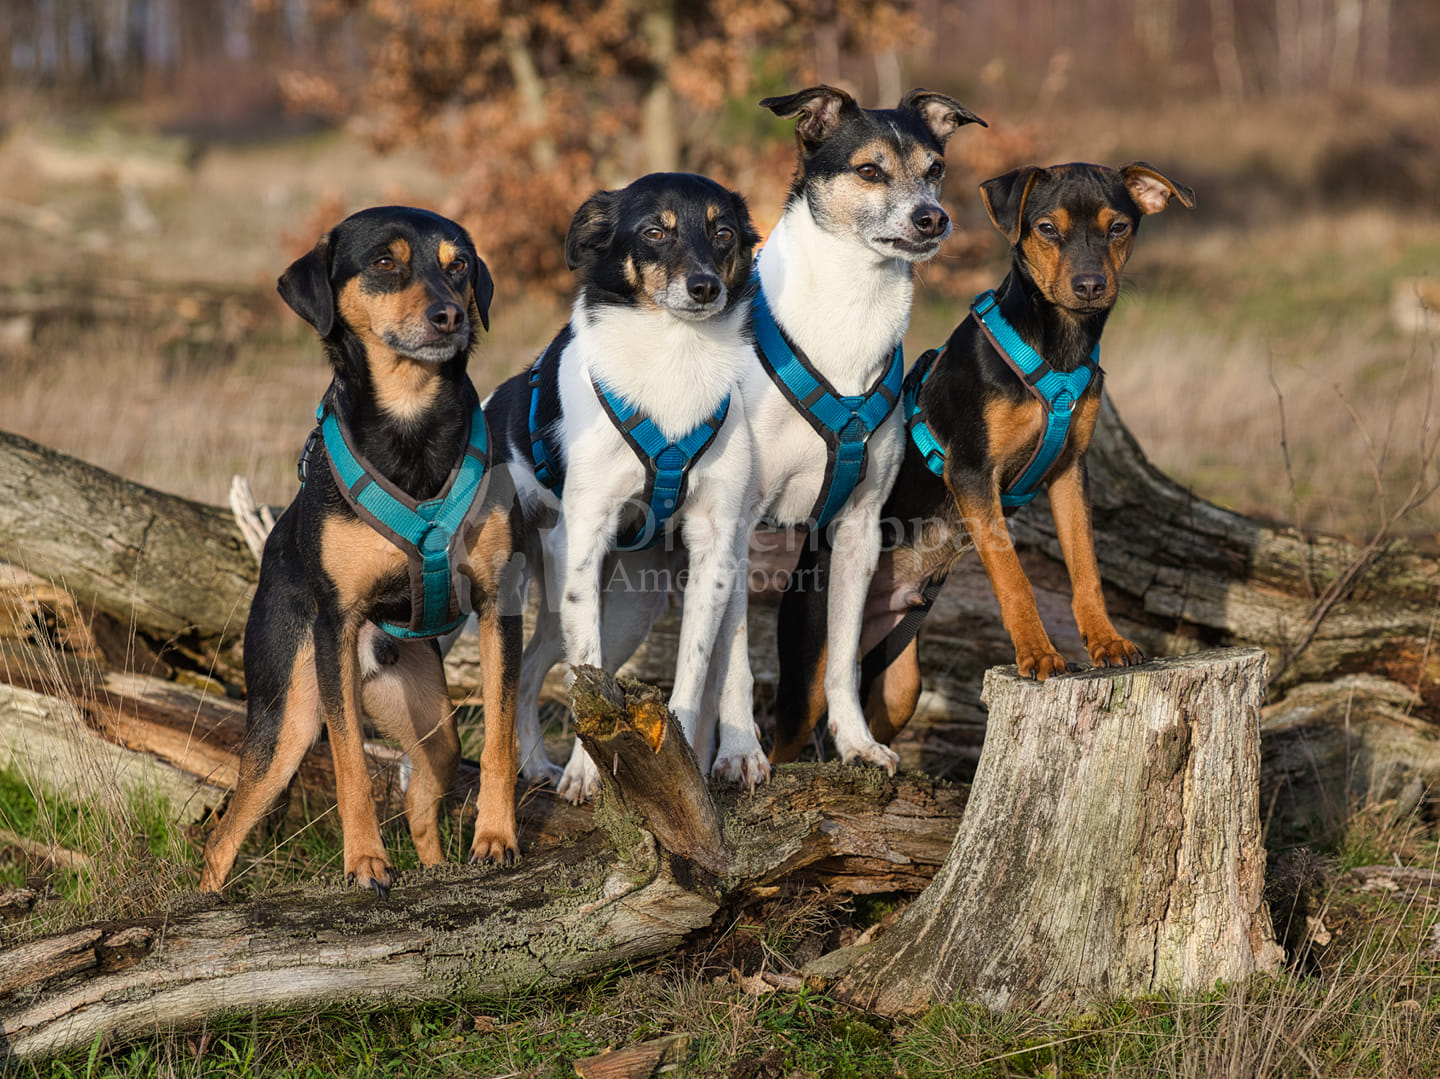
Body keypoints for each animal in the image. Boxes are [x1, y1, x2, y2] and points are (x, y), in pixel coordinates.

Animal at [200, 204, 521, 893]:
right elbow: (349, 761)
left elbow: (502, 741)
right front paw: (365, 862)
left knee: (423, 800)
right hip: (288, 716)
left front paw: (496, 838)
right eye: (383, 262)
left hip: (432, 723)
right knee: (223, 835)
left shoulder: (497, 605)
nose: (450, 315)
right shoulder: (336, 629)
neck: (411, 420)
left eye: (460, 266)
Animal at [480, 172, 766, 800]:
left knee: (532, 670)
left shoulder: (714, 544)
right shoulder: (585, 537)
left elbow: (692, 667)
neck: (675, 354)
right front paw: (588, 774)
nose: (705, 287)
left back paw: (535, 765)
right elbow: (590, 672)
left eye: (724, 232)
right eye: (655, 231)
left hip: (620, 607)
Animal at [725, 86, 984, 772]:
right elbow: (730, 658)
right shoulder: (730, 524)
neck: (851, 309)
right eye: (870, 171)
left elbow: (841, 661)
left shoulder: (859, 529)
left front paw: (858, 744)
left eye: (935, 169)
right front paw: (738, 752)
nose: (932, 219)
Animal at [771, 162, 1198, 754]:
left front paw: (1106, 640)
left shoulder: (1070, 471)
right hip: (810, 669)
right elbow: (1012, 571)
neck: (1054, 345)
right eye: (1046, 228)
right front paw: (1038, 653)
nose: (1090, 287)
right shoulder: (972, 472)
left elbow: (1086, 565)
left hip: (899, 679)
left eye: (1118, 228)